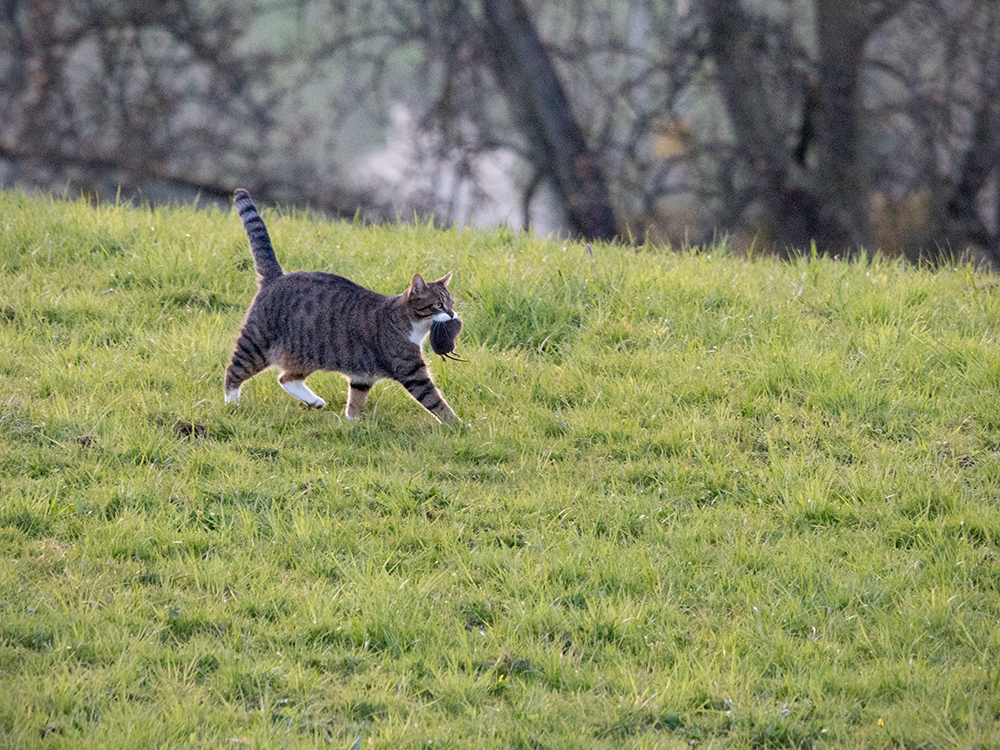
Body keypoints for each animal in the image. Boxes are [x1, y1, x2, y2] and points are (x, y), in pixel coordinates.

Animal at [224, 189, 460, 424]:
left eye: (451, 303)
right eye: (439, 305)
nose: (452, 314)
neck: (408, 322)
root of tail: (277, 276)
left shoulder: (362, 376)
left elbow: (355, 399)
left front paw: (353, 423)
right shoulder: (410, 369)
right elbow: (434, 400)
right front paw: (458, 425)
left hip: (306, 353)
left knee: (285, 378)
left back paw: (314, 401)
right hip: (257, 343)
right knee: (234, 370)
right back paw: (232, 404)